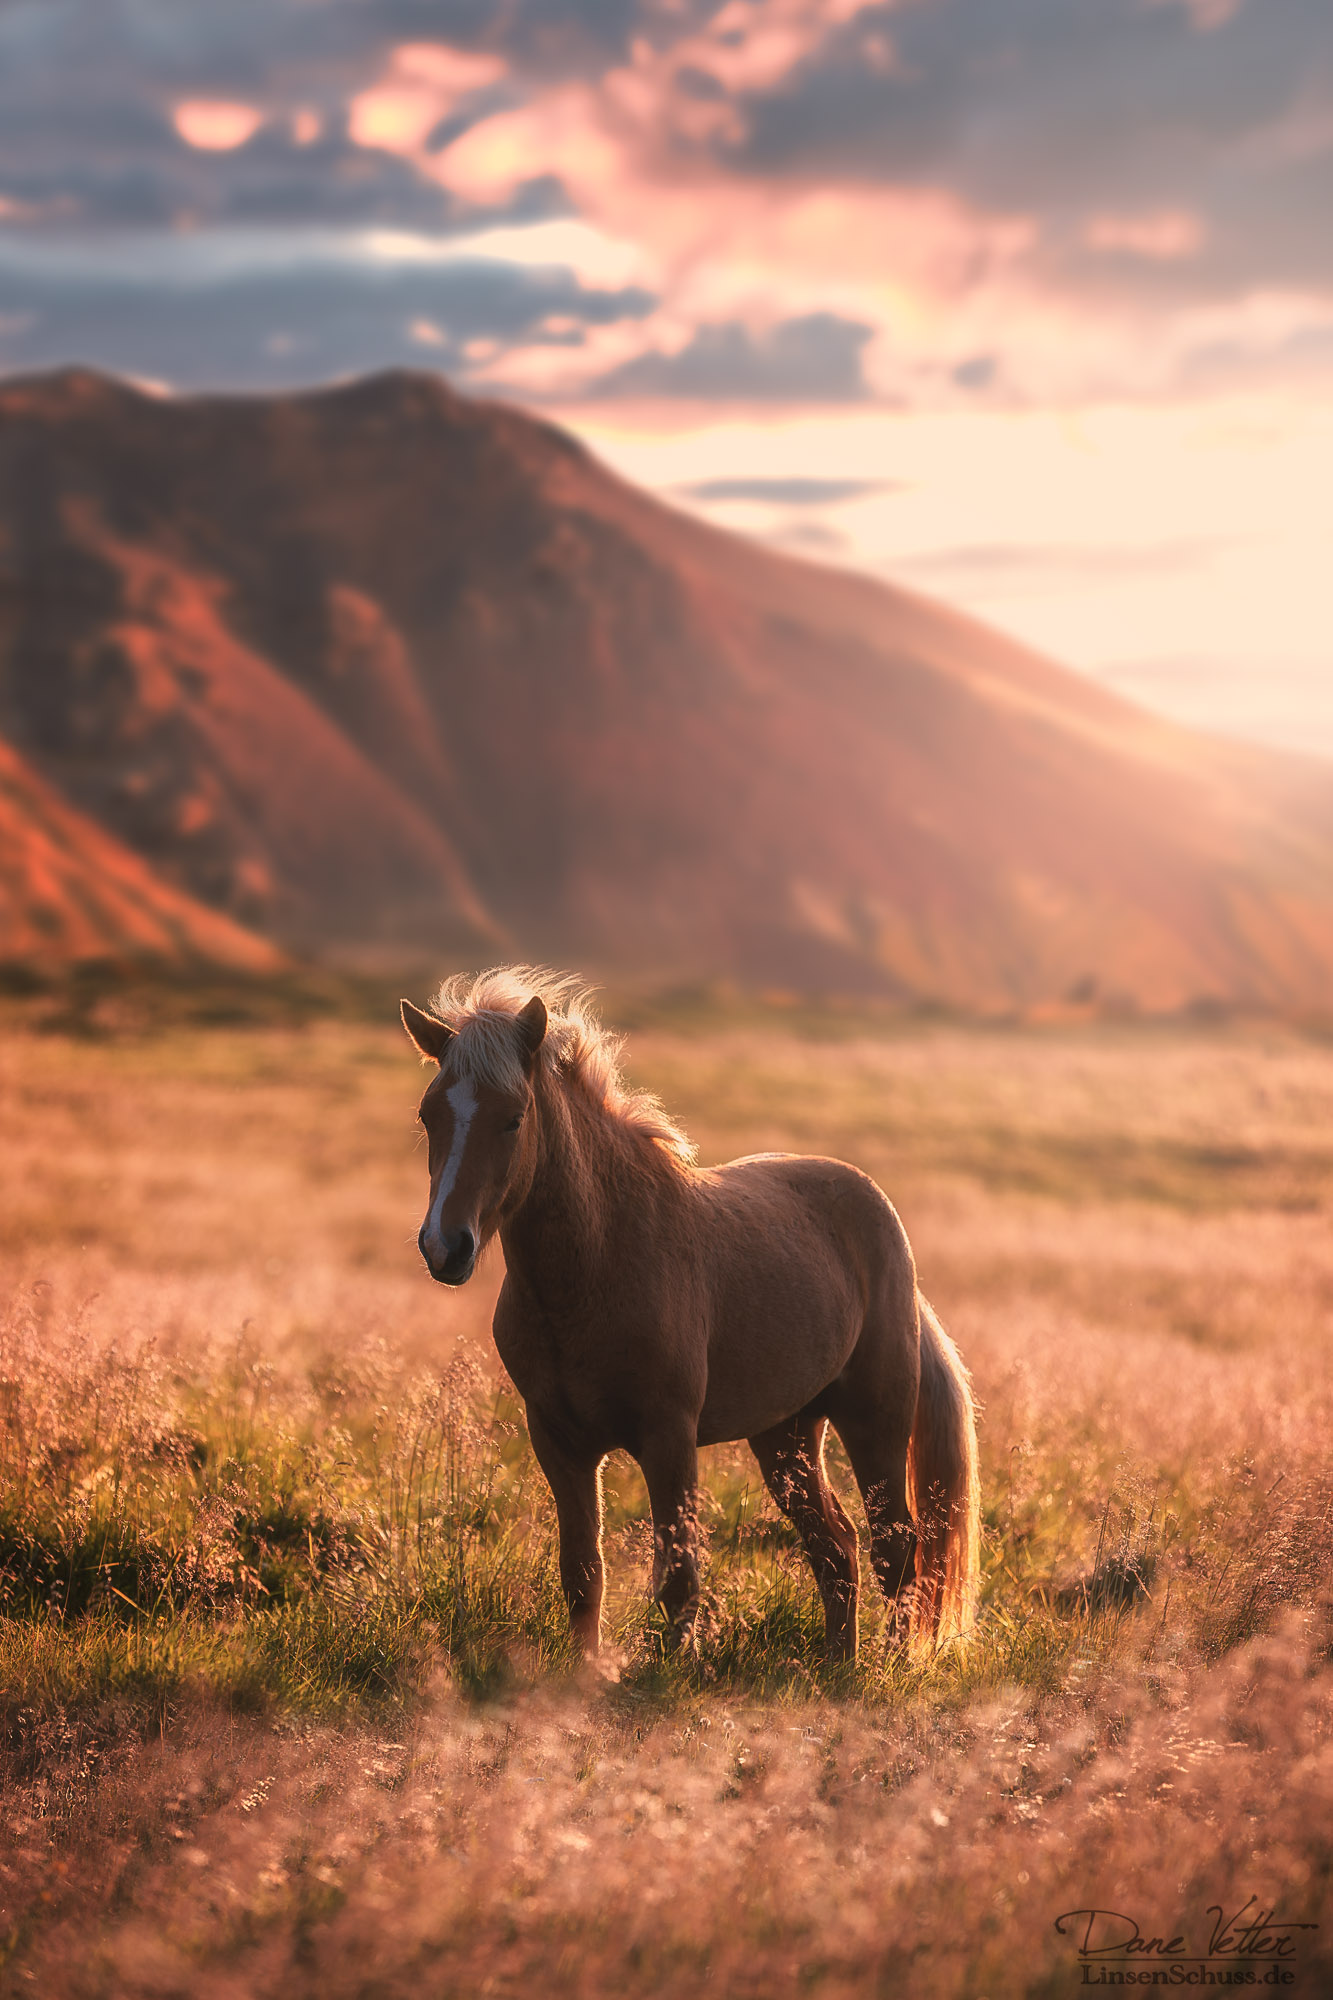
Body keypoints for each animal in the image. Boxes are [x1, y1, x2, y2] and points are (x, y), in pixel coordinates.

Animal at [400, 967, 980, 1662]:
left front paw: (673, 1673)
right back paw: (839, 1664)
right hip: (786, 1435)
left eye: (513, 1119)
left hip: (874, 1421)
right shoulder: (558, 1441)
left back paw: (887, 1668)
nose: (445, 1246)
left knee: (895, 1543)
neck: (597, 1268)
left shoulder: (668, 1437)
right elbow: (582, 1571)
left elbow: (679, 1577)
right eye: (429, 1115)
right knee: (837, 1548)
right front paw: (588, 1672)